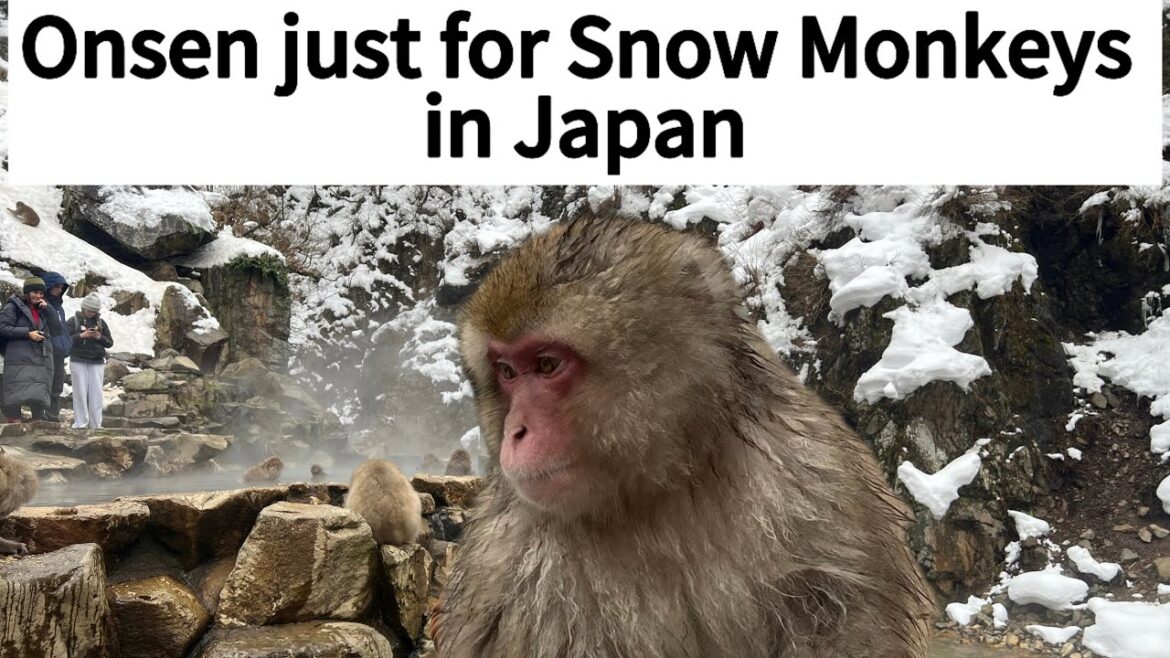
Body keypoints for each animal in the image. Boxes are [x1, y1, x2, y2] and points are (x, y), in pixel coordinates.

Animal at [435, 218, 933, 658]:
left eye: (546, 364)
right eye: (506, 372)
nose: (516, 431)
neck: (658, 491)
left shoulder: (820, 481)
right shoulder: (504, 568)